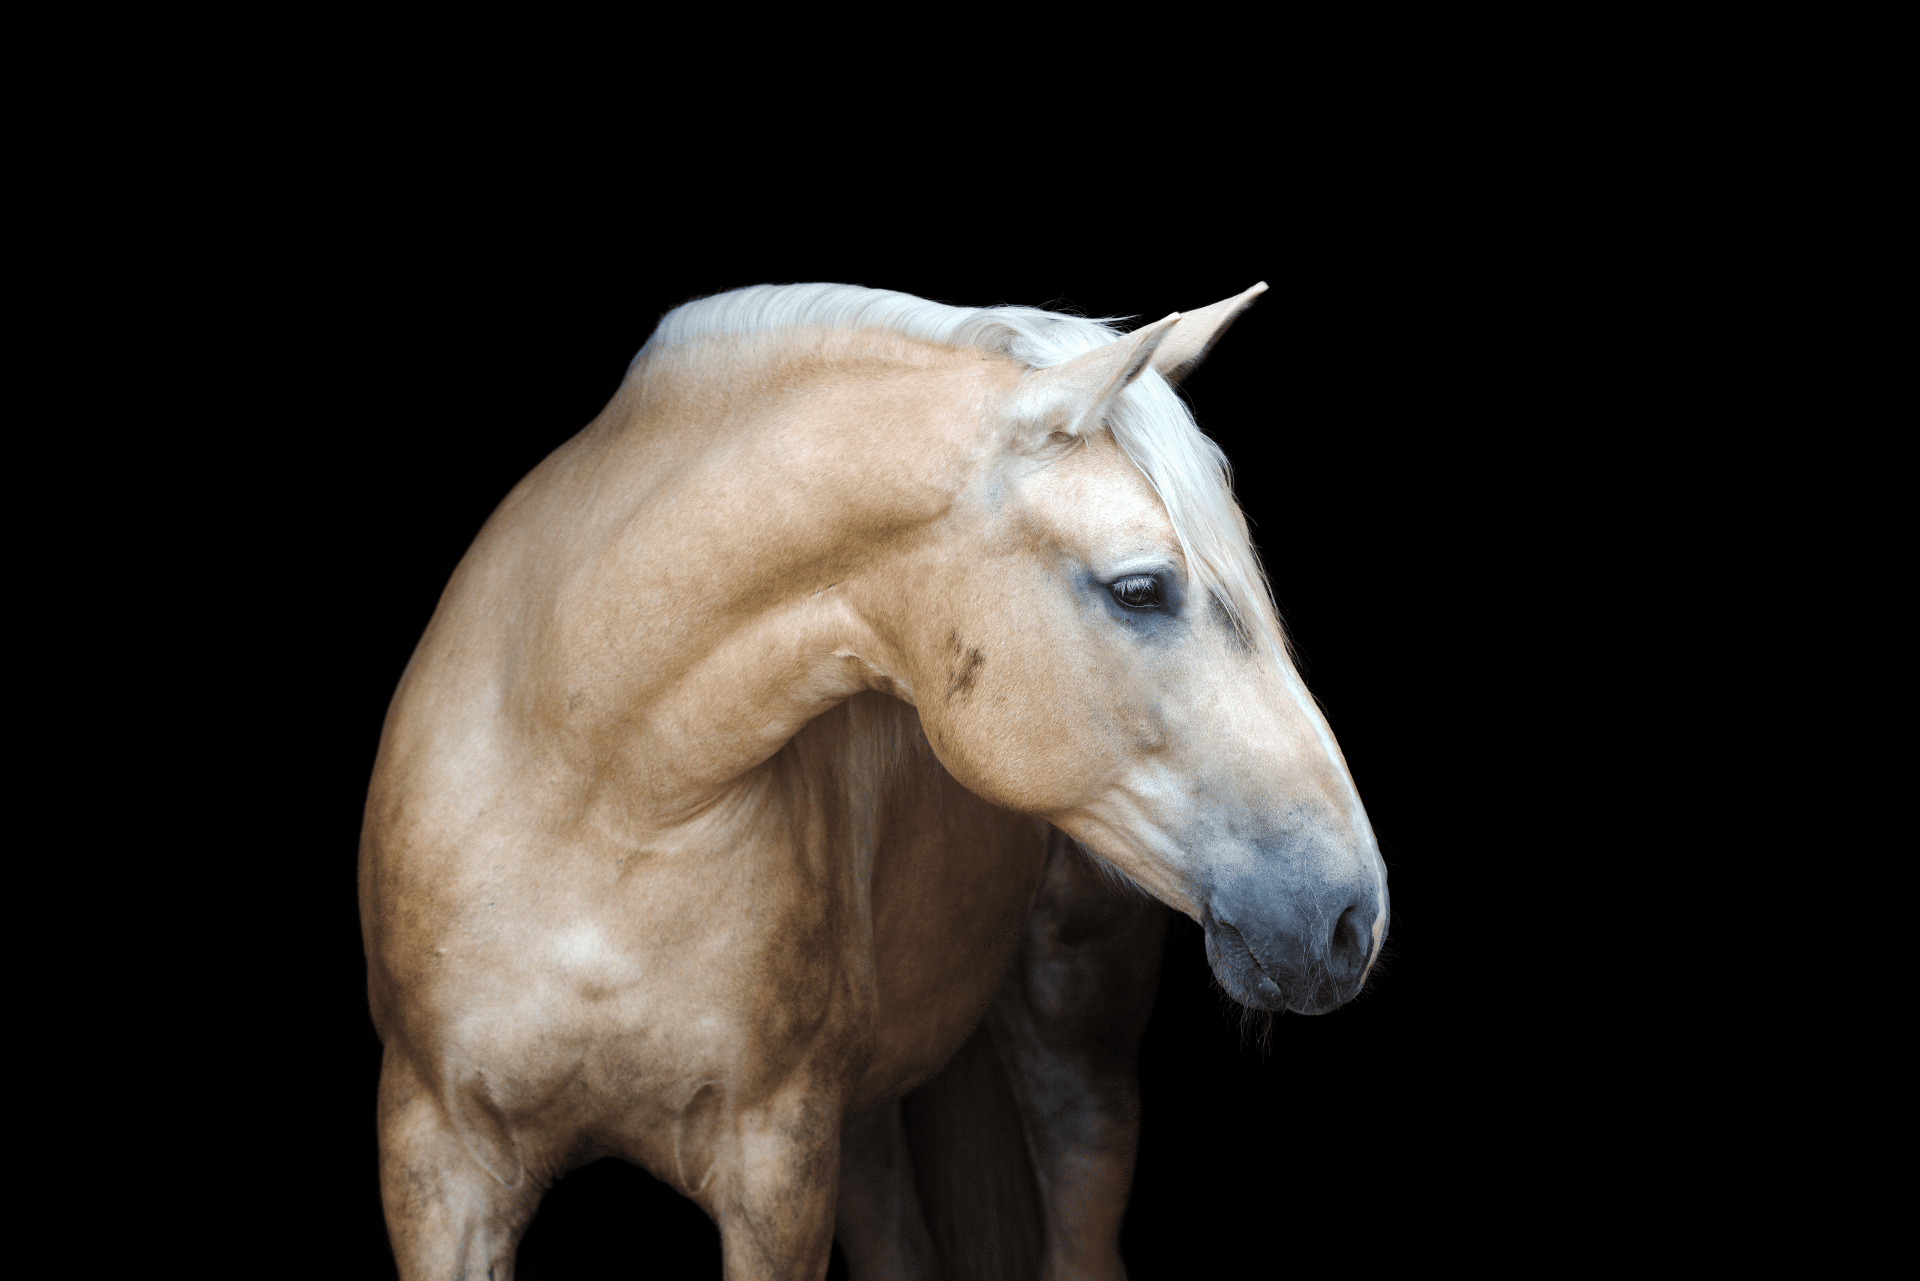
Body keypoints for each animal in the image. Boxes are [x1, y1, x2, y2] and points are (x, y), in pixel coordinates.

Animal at [360, 280, 1389, 1280]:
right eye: (1139, 588)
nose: (1349, 914)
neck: (601, 796)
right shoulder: (438, 1164)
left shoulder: (774, 1171)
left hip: (1074, 1036)